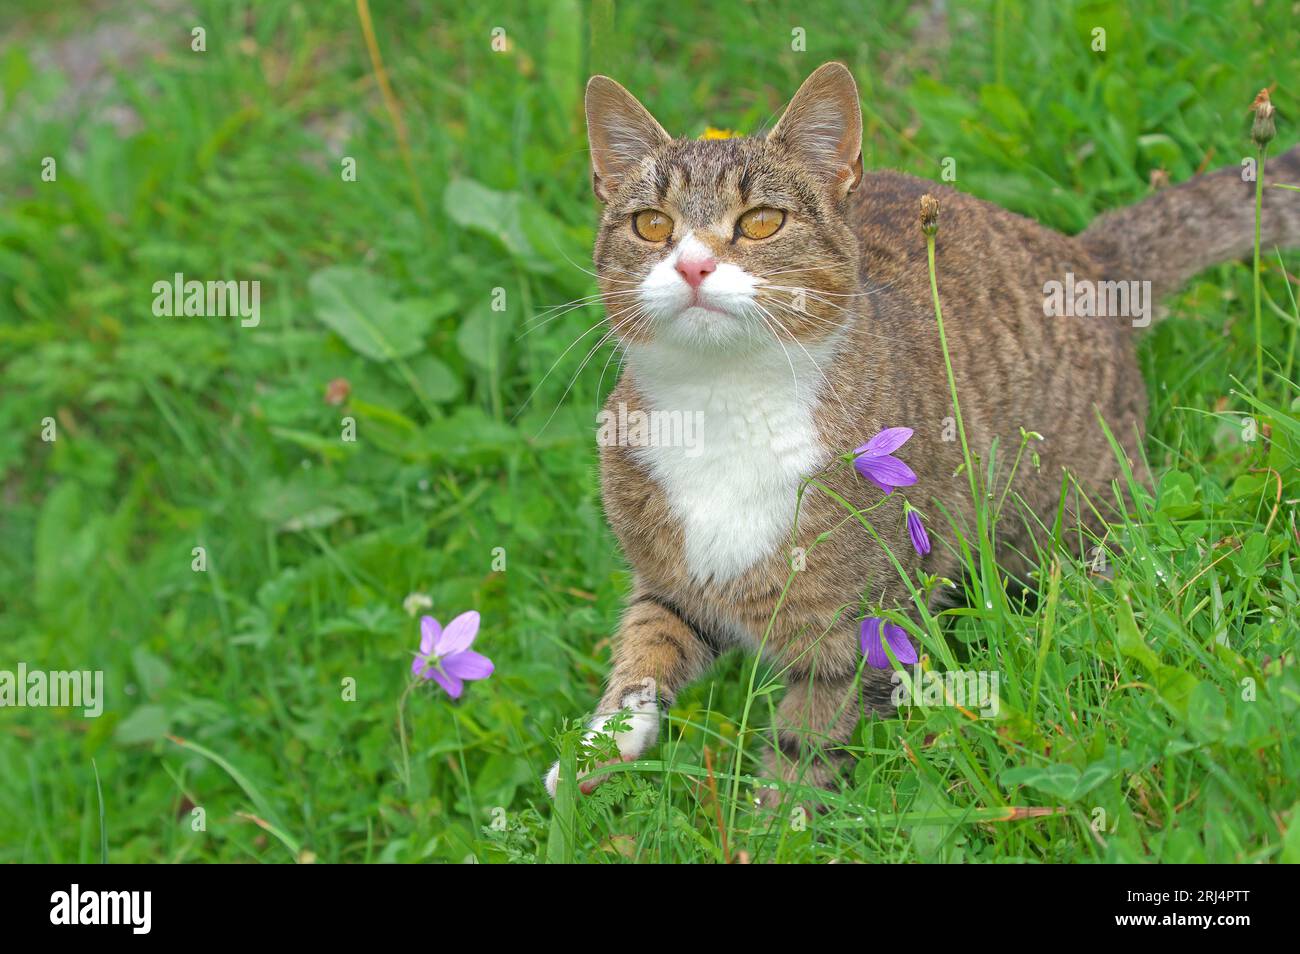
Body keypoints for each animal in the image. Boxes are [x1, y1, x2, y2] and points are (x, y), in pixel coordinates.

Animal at [543, 61, 1300, 800]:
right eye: (649, 224)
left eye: (760, 222)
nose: (693, 264)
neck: (722, 398)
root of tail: (1094, 263)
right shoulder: (674, 577)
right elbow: (648, 643)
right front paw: (597, 749)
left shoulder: (868, 623)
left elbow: (809, 741)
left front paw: (779, 818)